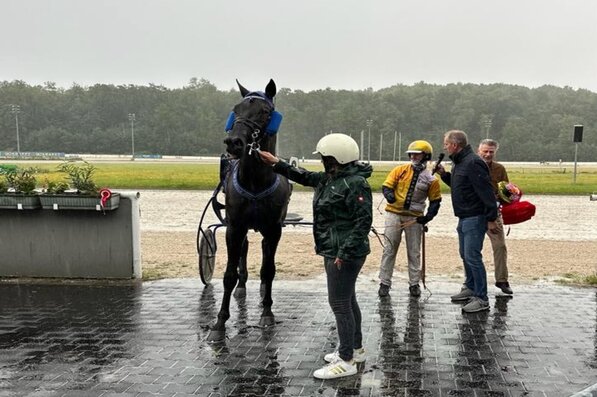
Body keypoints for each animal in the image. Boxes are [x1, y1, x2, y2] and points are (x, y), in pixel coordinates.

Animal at [207, 78, 292, 340]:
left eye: (264, 112)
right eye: (236, 109)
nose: (234, 142)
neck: (255, 182)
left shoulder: (274, 229)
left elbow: (268, 270)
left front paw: (267, 313)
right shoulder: (234, 227)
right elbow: (229, 275)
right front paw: (219, 322)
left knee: (265, 254)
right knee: (243, 252)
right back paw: (242, 286)